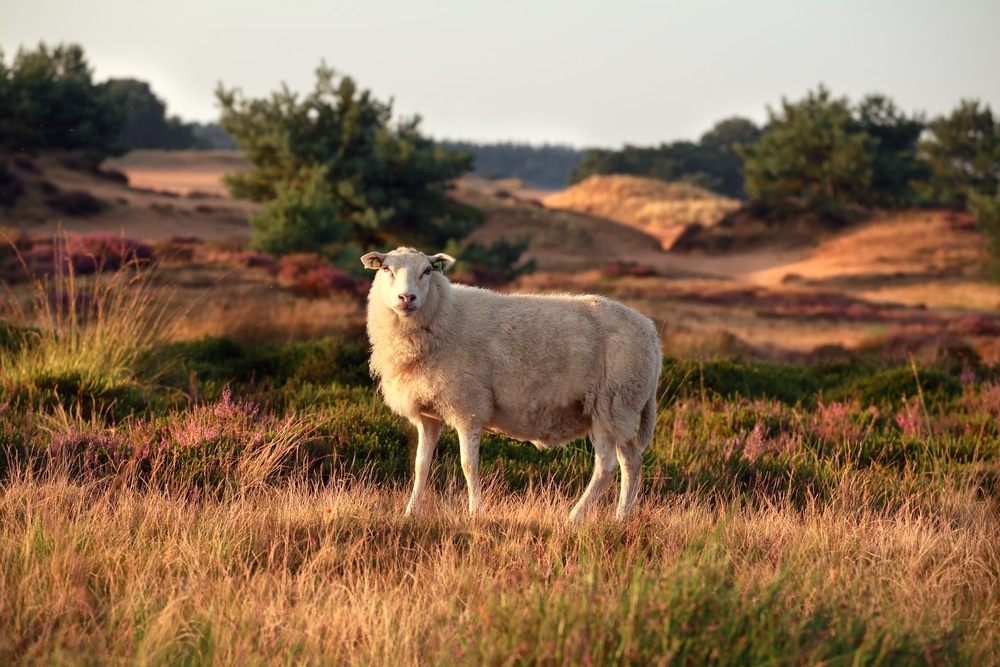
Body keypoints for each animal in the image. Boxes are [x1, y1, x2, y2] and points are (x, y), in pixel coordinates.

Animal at [362, 245, 664, 520]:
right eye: (386, 269)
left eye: (427, 270)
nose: (407, 297)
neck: (445, 316)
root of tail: (651, 332)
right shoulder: (428, 413)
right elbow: (421, 464)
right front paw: (410, 513)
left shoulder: (468, 406)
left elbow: (468, 465)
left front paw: (476, 513)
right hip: (612, 410)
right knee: (629, 461)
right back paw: (619, 518)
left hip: (614, 403)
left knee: (607, 466)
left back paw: (575, 518)